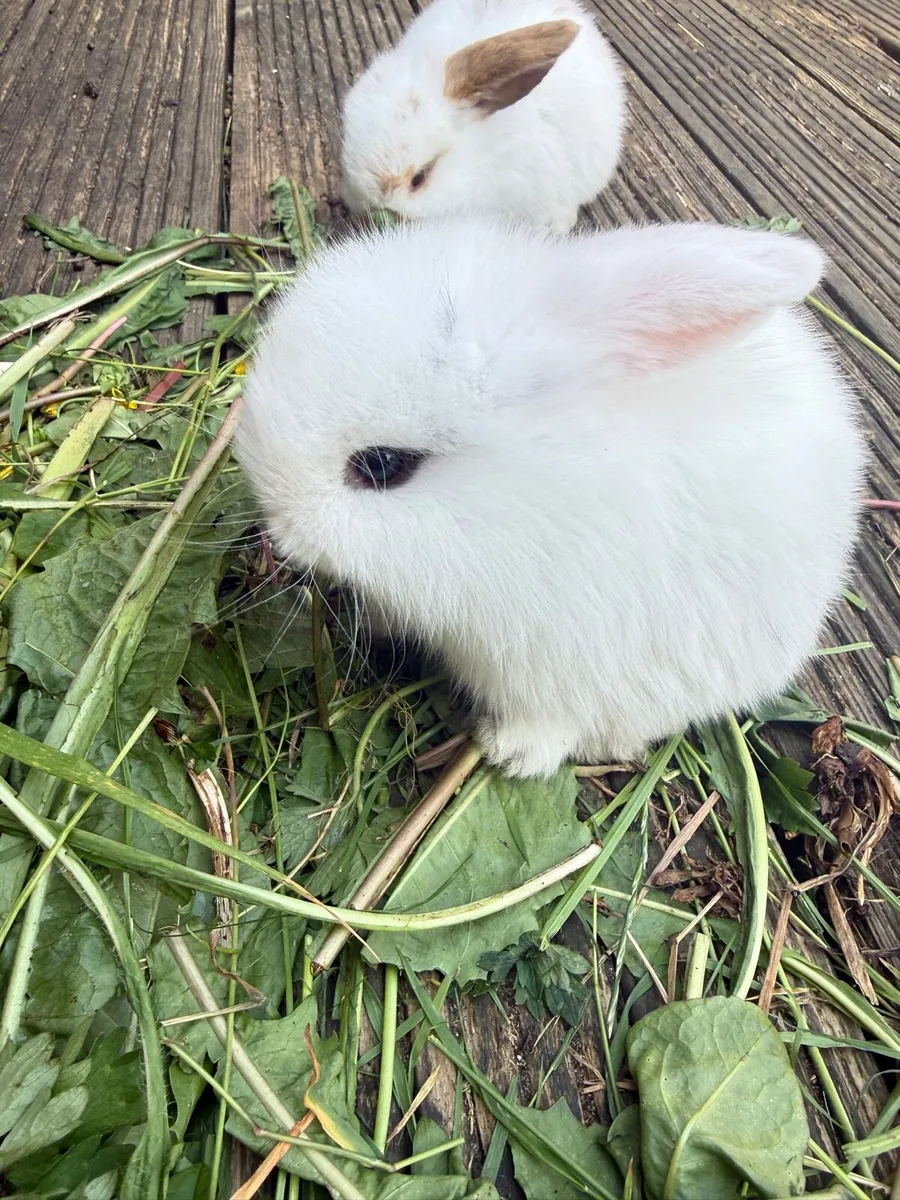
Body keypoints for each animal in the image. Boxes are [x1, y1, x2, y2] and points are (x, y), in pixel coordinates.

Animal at [235, 216, 866, 778]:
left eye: (383, 466)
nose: (276, 528)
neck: (521, 495)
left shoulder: (563, 661)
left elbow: (552, 723)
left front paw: (508, 753)